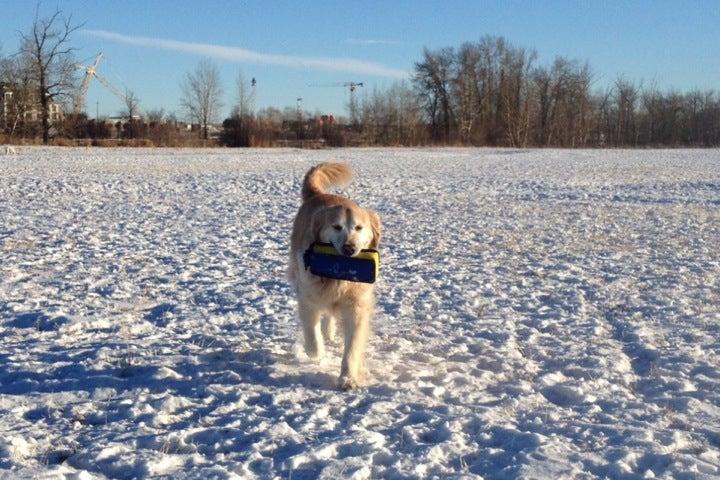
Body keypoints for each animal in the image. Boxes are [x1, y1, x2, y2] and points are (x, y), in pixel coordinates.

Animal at [290, 162, 382, 390]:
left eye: (359, 227)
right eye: (337, 227)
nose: (349, 248)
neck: (338, 277)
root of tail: (319, 194)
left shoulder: (357, 307)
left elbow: (352, 347)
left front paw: (348, 378)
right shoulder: (307, 297)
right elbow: (312, 334)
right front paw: (317, 353)